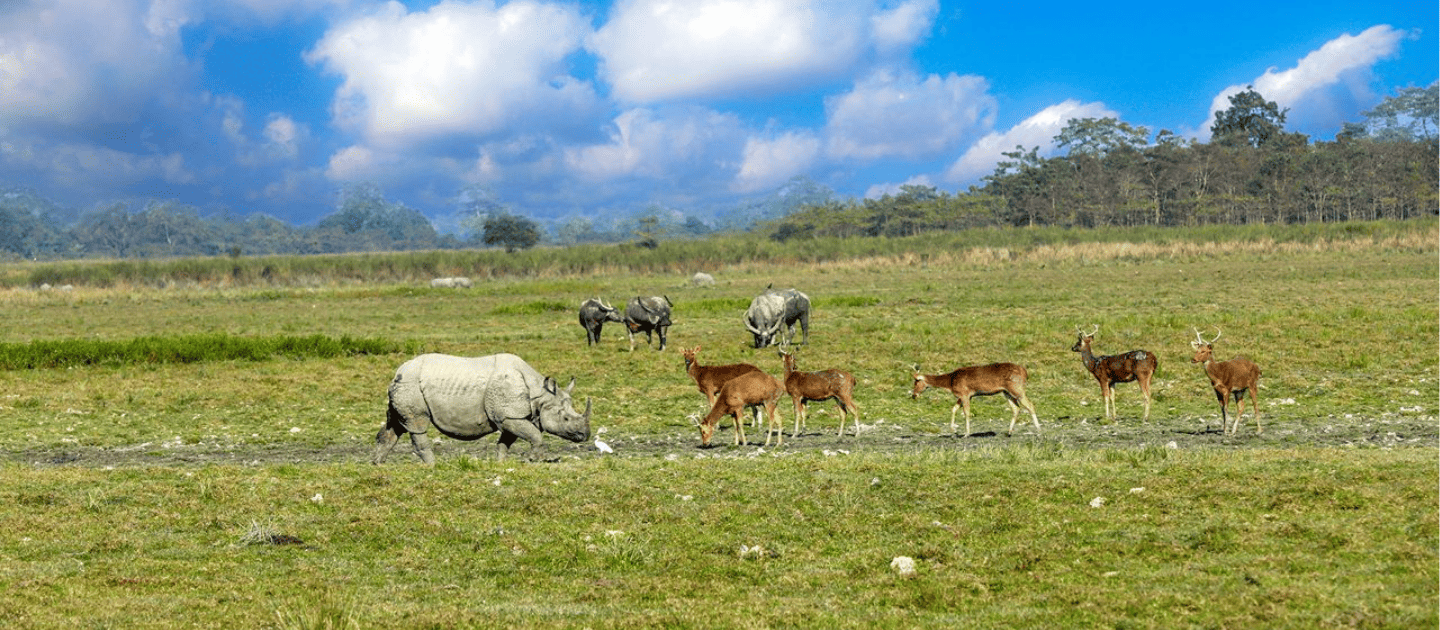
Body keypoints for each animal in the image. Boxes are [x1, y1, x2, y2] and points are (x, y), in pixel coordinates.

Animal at [374, 353, 592, 464]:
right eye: (565, 419)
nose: (585, 435)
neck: (540, 395)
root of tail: (398, 371)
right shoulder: (510, 416)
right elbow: (535, 436)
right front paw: (537, 460)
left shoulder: (510, 416)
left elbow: (505, 442)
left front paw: (501, 463)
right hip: (410, 385)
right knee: (417, 425)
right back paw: (432, 466)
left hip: (404, 386)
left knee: (395, 425)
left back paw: (378, 463)